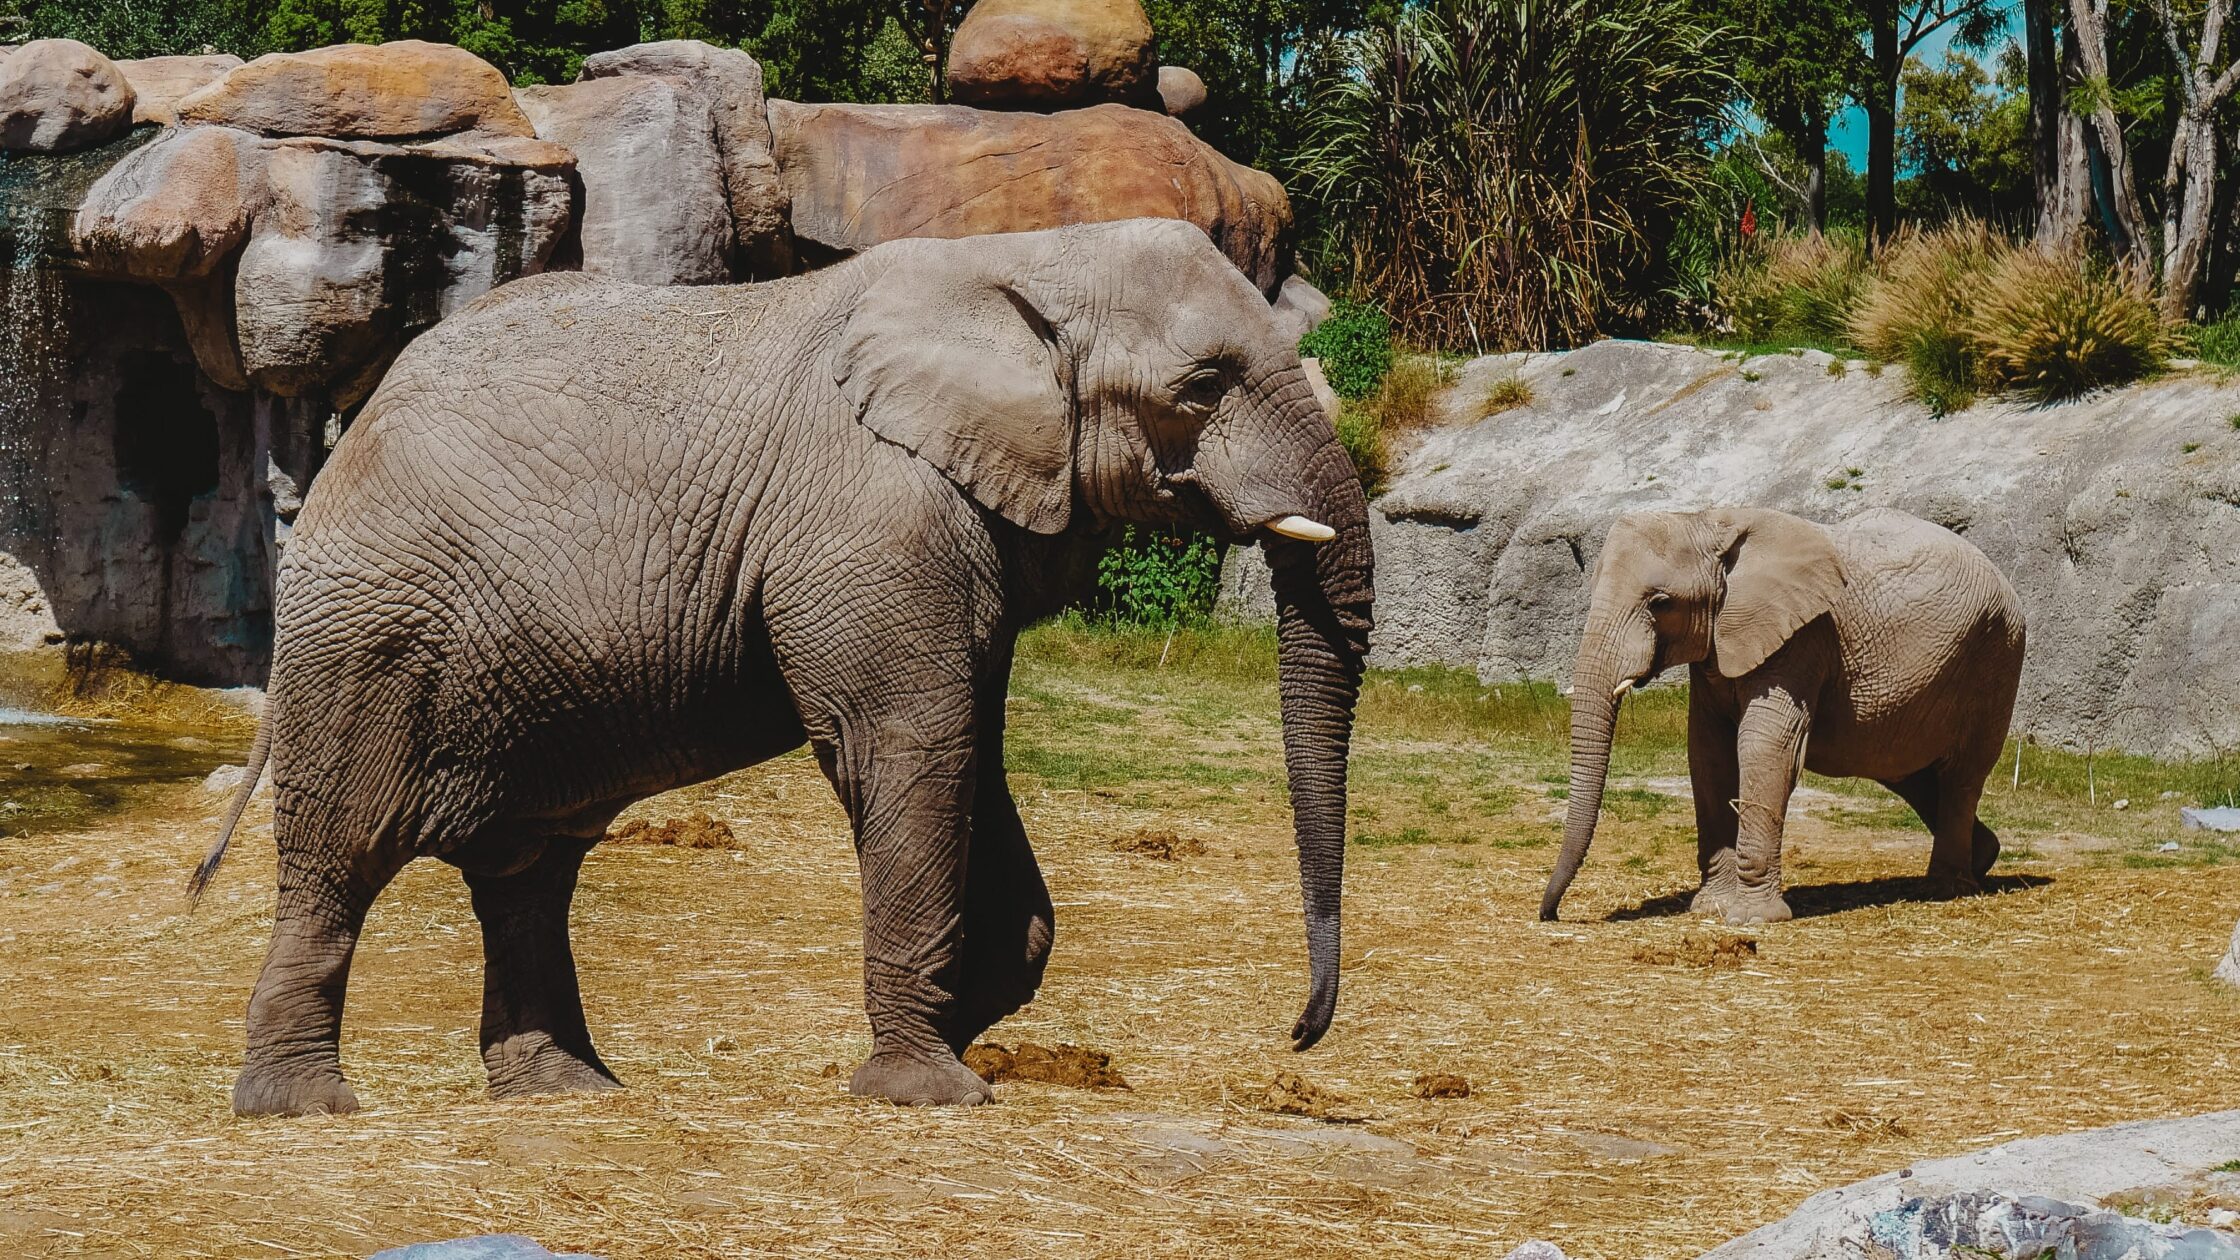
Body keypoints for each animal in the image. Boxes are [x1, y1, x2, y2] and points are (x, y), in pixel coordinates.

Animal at [197, 215, 1379, 1107]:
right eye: (1201, 385)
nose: (1299, 1033)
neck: (1028, 256)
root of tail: (348, 439)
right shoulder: (870, 514)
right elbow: (908, 746)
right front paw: (928, 1088)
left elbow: (970, 754)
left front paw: (959, 1026)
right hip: (366, 640)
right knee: (341, 859)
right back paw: (304, 1106)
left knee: (528, 871)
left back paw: (568, 1093)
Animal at [1541, 502, 2033, 923]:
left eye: (1661, 603)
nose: (1551, 914)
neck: (1707, 521)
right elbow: (1708, 751)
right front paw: (1709, 908)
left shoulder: (1802, 637)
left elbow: (1763, 747)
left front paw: (1752, 919)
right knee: (1905, 772)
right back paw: (1983, 857)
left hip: (1996, 655)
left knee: (1960, 775)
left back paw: (1946, 888)